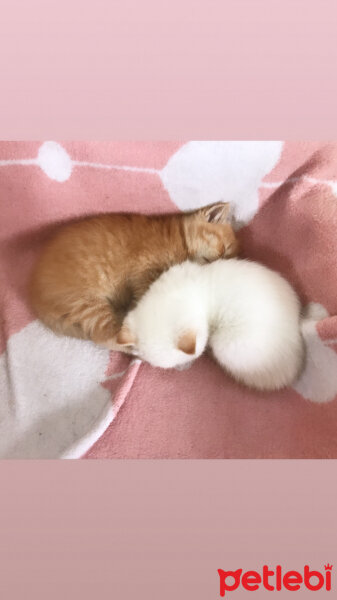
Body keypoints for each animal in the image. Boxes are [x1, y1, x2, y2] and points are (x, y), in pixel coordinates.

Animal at [29, 204, 239, 350]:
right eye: (225, 249)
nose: (219, 266)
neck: (178, 239)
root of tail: (36, 299)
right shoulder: (143, 270)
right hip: (88, 304)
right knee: (104, 337)